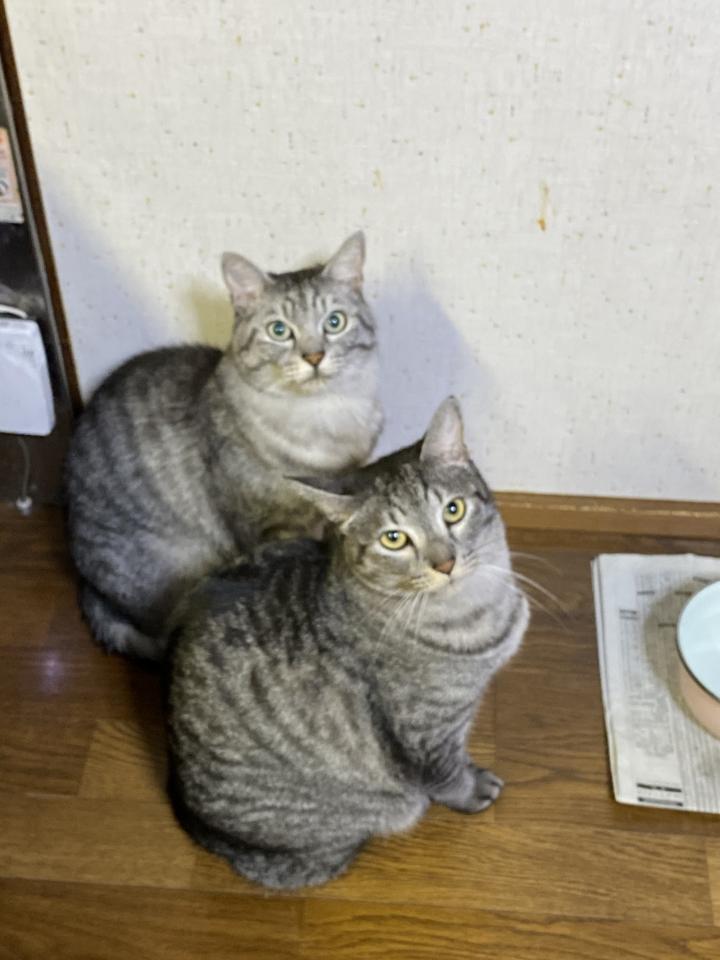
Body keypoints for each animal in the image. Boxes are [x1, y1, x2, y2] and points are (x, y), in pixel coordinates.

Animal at [65, 233, 383, 660]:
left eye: (335, 322)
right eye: (279, 330)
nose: (314, 356)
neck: (325, 420)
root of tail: (91, 588)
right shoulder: (263, 524)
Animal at [167, 397, 529, 890]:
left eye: (453, 510)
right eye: (393, 539)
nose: (445, 563)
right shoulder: (427, 731)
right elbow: (446, 772)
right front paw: (472, 790)